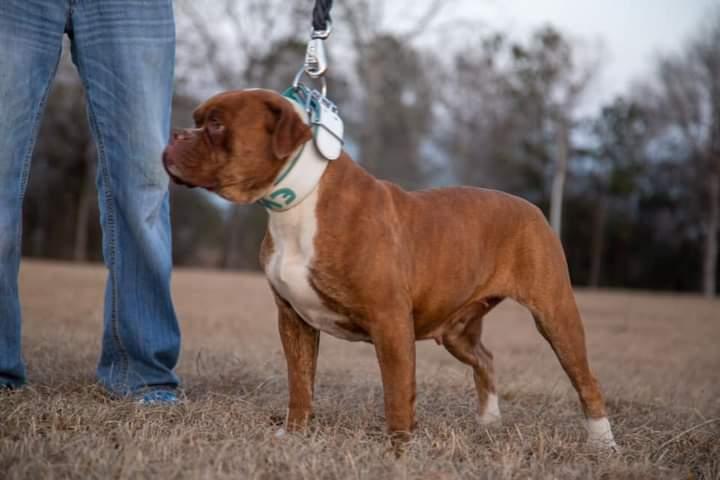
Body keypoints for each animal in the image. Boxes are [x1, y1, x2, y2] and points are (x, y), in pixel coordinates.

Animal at [165, 87, 620, 450]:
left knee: (586, 380)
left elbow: (397, 390)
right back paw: (489, 421)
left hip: (555, 315)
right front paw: (294, 433)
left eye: (217, 124)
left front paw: (398, 448)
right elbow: (300, 384)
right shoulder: (293, 320)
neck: (299, 200)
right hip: (457, 330)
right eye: (198, 121)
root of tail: (533, 208)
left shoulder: (390, 321)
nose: (174, 134)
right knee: (486, 359)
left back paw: (603, 443)